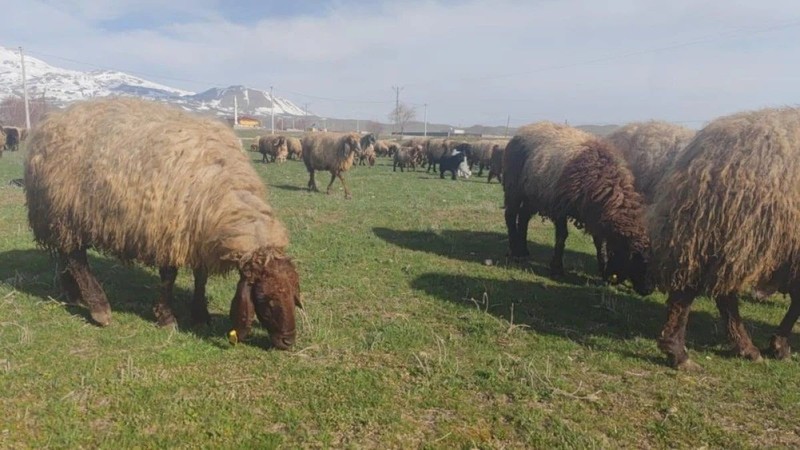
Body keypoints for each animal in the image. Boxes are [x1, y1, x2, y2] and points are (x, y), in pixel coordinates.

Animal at [25, 97, 302, 352]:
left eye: (294, 294)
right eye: (265, 299)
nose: (288, 341)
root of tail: (49, 123)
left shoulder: (197, 237)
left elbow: (201, 277)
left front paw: (200, 314)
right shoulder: (169, 233)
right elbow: (169, 277)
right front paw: (166, 318)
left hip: (60, 219)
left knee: (66, 255)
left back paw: (72, 294)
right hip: (64, 212)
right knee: (77, 260)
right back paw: (99, 308)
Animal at [504, 121, 652, 296]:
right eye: (636, 258)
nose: (648, 290)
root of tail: (522, 131)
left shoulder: (595, 215)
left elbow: (599, 242)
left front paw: (603, 271)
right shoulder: (560, 207)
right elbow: (562, 236)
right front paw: (557, 269)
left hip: (532, 194)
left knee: (523, 216)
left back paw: (523, 250)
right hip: (514, 187)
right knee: (510, 215)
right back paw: (515, 250)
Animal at [648, 106, 800, 370]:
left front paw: (778, 344)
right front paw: (779, 346)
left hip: (714, 236)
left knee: (716, 293)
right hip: (730, 232)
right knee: (700, 293)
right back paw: (681, 353)